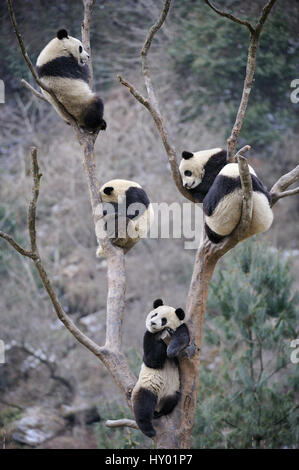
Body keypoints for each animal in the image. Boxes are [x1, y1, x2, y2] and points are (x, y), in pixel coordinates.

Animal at [133, 300, 190, 438]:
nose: (153, 323)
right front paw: (159, 337)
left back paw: (160, 413)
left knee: (171, 400)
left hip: (171, 391)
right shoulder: (148, 335)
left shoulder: (180, 329)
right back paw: (149, 430)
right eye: (154, 314)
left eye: (164, 320)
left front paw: (171, 350)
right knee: (142, 404)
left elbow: (182, 338)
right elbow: (150, 360)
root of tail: (158, 404)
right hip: (147, 386)